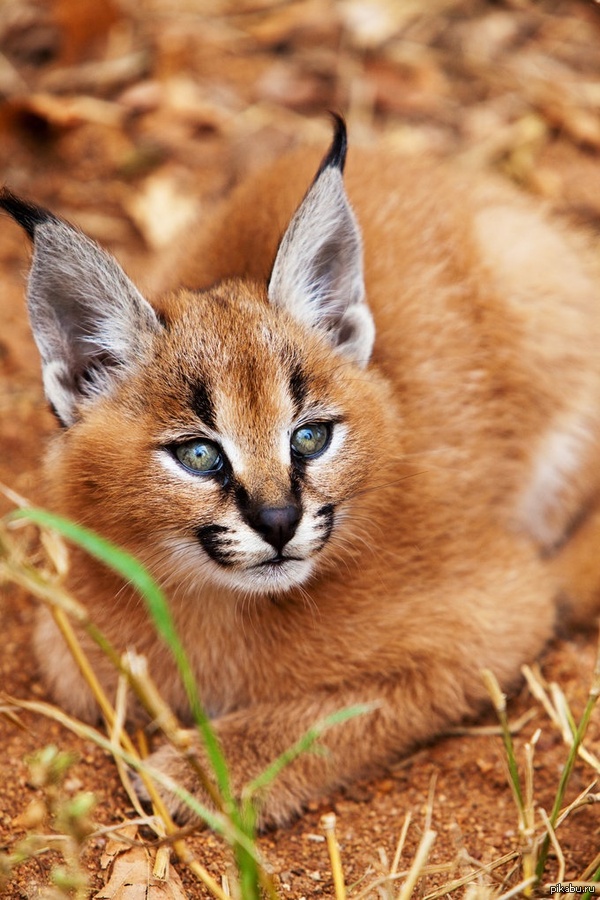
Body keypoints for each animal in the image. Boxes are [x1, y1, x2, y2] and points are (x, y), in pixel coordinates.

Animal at [3, 119, 600, 828]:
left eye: (310, 438)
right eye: (199, 456)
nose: (279, 521)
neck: (219, 607)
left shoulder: (501, 612)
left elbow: (340, 713)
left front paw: (201, 771)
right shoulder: (62, 633)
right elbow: (76, 670)